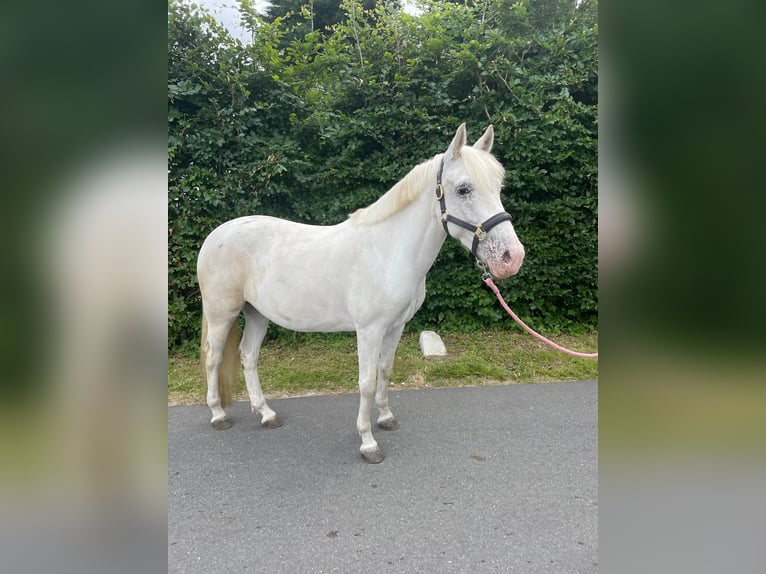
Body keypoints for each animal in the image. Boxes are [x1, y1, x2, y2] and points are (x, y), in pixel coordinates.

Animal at [198, 125, 524, 464]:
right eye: (463, 189)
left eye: (498, 186)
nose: (512, 257)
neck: (389, 251)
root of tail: (215, 236)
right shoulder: (369, 330)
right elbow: (366, 382)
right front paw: (368, 443)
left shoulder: (395, 327)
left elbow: (385, 370)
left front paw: (385, 418)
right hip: (222, 314)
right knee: (213, 357)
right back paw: (218, 415)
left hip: (257, 314)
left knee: (248, 356)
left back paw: (266, 414)